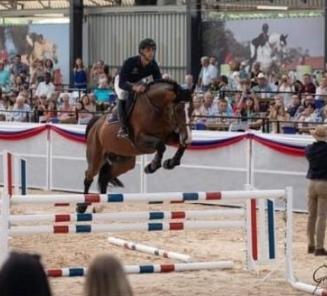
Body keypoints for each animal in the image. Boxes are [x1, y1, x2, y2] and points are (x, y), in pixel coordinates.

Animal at [77, 79, 193, 213]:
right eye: (179, 109)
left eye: (192, 109)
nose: (188, 137)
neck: (157, 108)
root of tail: (96, 123)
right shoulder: (140, 140)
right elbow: (160, 145)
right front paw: (151, 166)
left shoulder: (168, 136)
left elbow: (181, 145)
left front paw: (170, 163)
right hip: (96, 157)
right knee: (89, 176)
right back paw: (82, 206)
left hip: (125, 162)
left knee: (105, 176)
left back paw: (100, 206)